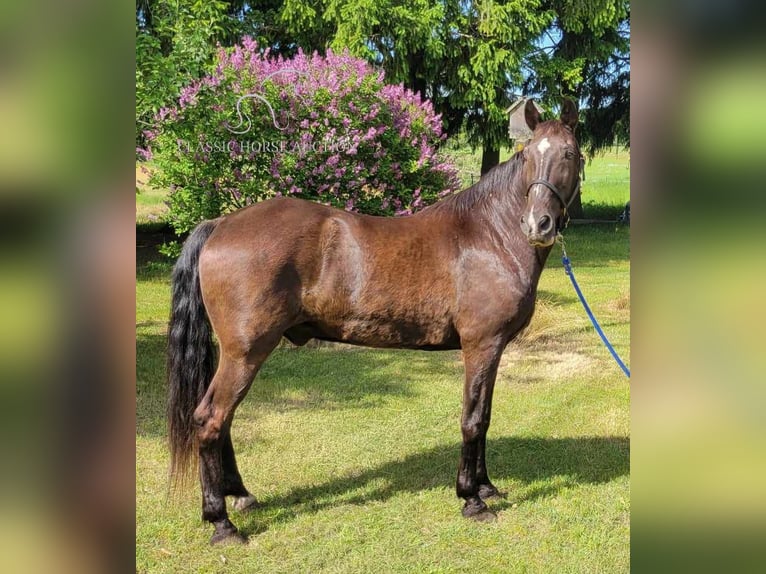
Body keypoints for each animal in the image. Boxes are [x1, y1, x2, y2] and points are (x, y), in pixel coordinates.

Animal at [166, 98, 584, 544]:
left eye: (569, 153)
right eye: (528, 156)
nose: (538, 224)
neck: (489, 235)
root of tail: (221, 224)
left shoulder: (493, 348)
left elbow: (484, 416)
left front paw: (486, 486)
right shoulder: (480, 345)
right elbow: (472, 420)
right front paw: (471, 499)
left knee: (223, 421)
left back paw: (239, 496)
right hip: (244, 353)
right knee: (210, 420)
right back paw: (221, 522)